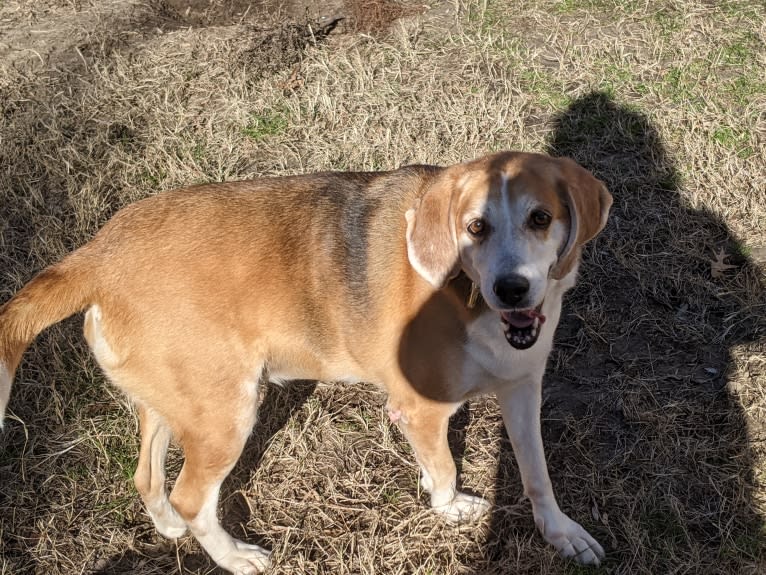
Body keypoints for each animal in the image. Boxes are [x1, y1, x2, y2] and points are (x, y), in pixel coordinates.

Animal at [0, 152, 612, 572]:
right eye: (475, 227)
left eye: (540, 218)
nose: (512, 289)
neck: (468, 291)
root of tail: (97, 255)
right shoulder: (421, 408)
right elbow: (443, 470)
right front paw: (449, 506)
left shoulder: (522, 390)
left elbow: (536, 475)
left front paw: (559, 532)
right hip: (226, 415)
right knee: (191, 496)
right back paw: (234, 556)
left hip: (171, 406)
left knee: (148, 476)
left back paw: (170, 527)